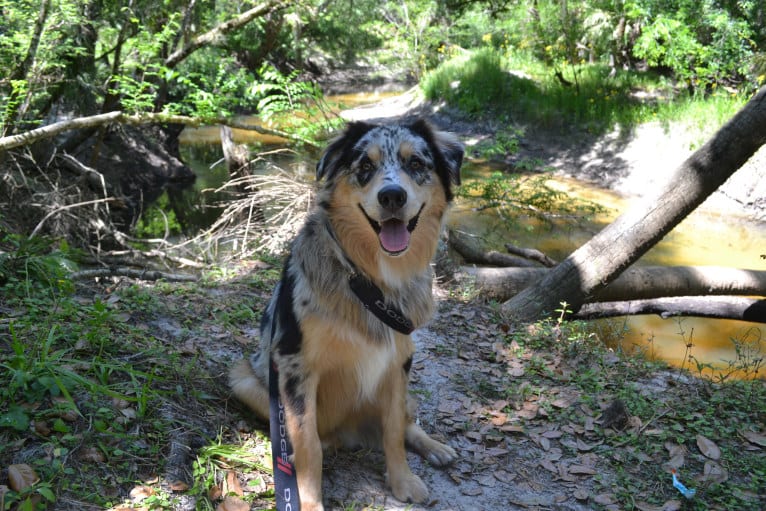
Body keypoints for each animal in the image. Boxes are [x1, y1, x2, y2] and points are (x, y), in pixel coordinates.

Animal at [228, 118, 464, 510]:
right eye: (365, 166)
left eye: (416, 163)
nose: (392, 196)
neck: (370, 281)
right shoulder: (295, 367)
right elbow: (307, 446)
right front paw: (309, 503)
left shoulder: (399, 362)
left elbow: (394, 432)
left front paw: (402, 481)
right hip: (245, 381)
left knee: (406, 422)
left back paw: (435, 447)